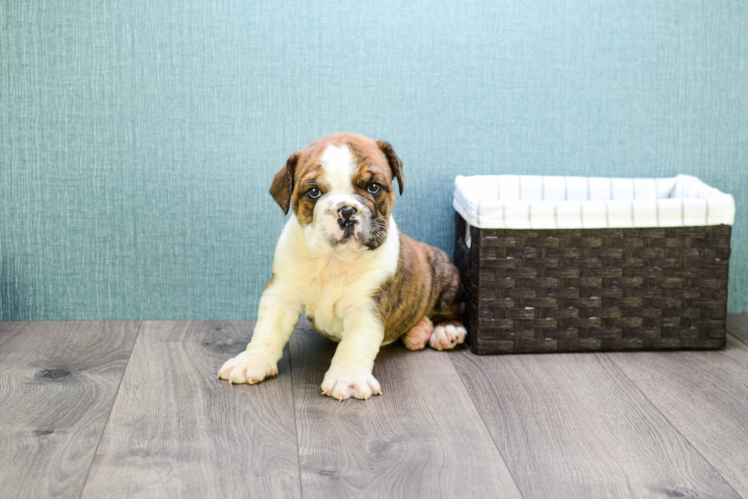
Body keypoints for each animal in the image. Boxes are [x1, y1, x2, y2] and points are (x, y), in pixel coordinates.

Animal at [216, 132, 464, 398]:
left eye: (373, 187)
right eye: (314, 192)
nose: (346, 211)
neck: (333, 260)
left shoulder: (367, 308)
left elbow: (355, 344)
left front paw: (348, 378)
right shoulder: (281, 294)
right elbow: (267, 330)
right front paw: (252, 360)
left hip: (446, 276)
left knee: (454, 310)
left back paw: (445, 331)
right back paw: (419, 332)